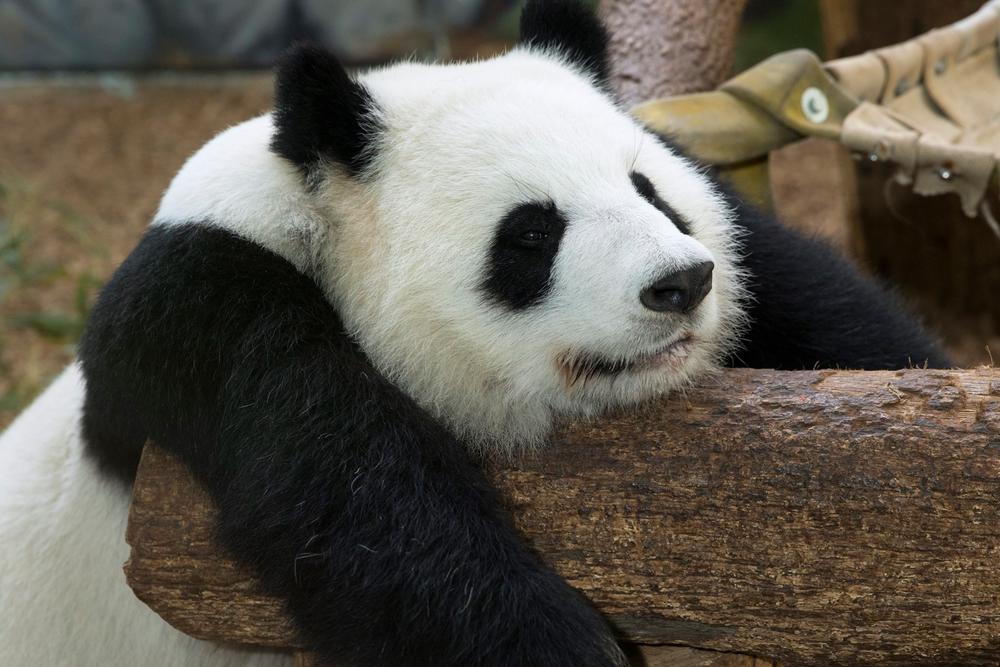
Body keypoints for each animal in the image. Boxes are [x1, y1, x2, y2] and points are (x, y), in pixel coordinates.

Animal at [0, 1, 944, 667]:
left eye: (649, 190)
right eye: (530, 233)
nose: (680, 284)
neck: (306, 208)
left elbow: (831, 310)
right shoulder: (201, 305)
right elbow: (345, 486)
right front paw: (559, 646)